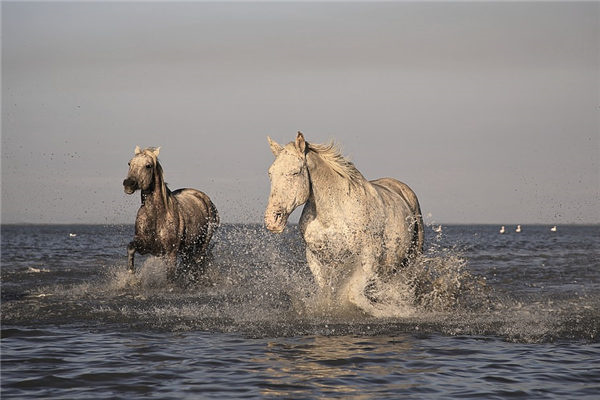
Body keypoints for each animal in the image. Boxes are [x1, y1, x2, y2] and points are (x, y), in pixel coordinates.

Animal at [123, 147, 219, 282]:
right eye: (129, 163)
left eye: (148, 165)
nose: (128, 184)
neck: (156, 216)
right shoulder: (145, 246)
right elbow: (131, 247)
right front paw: (131, 274)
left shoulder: (171, 253)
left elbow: (170, 276)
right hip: (187, 249)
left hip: (202, 243)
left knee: (197, 261)